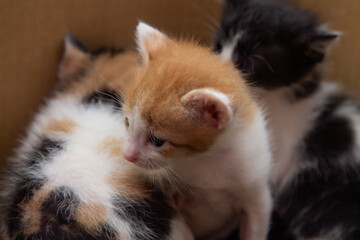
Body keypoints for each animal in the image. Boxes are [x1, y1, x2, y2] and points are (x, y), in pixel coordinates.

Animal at [122, 22, 272, 240]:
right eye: (127, 122)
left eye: (157, 140)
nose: (127, 156)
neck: (207, 158)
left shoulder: (256, 195)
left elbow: (255, 229)